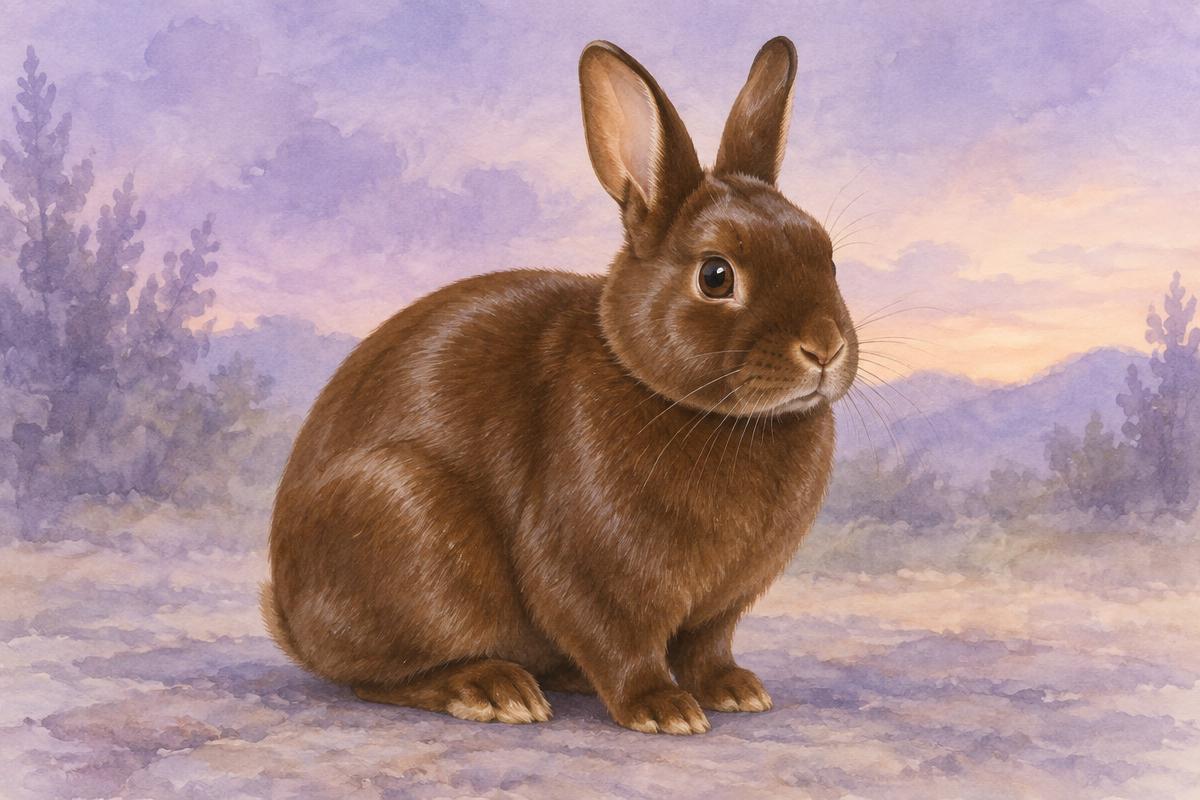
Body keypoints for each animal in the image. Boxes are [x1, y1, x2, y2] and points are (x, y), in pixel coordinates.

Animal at [262, 35, 858, 735]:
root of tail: (290, 617)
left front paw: (735, 690)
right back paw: (493, 690)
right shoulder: (591, 573)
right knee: (378, 678)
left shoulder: (722, 604)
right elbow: (620, 644)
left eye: (828, 259)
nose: (825, 348)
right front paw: (662, 710)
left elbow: (708, 645)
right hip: (405, 522)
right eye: (716, 276)